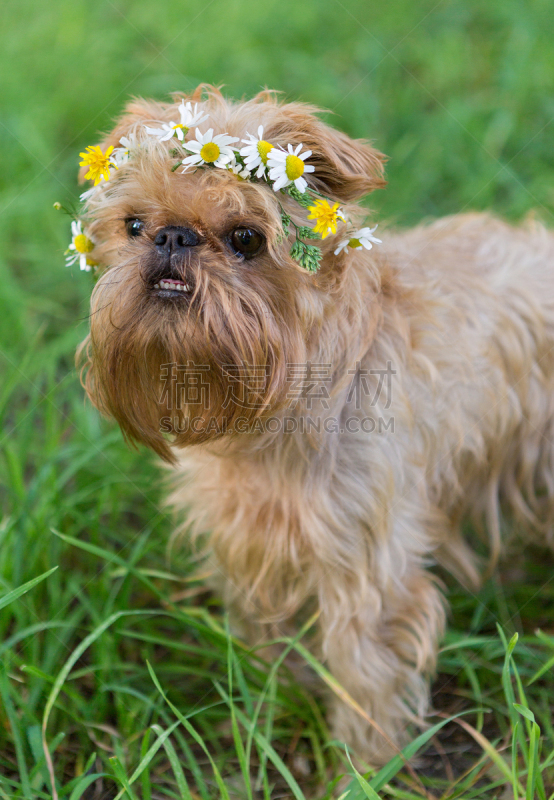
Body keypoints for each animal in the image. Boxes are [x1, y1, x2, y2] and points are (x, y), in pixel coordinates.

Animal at [76, 86, 552, 764]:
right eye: (134, 226)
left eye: (246, 239)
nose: (172, 236)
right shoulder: (250, 541)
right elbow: (269, 636)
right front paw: (276, 698)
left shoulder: (366, 565)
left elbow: (364, 671)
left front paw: (366, 765)